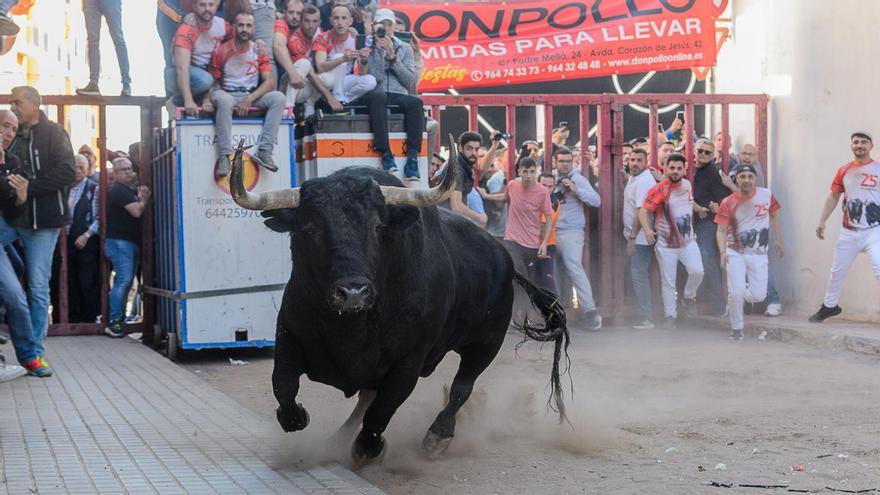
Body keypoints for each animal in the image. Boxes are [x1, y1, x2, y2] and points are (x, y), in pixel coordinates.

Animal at [227, 140, 572, 464]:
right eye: (309, 228)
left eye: (377, 227)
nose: (353, 292)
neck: (350, 327)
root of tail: (503, 255)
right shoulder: (289, 335)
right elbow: (284, 386)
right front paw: (298, 416)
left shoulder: (409, 361)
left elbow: (382, 411)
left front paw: (369, 449)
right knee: (368, 397)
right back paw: (338, 439)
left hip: (486, 342)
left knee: (462, 386)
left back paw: (437, 436)